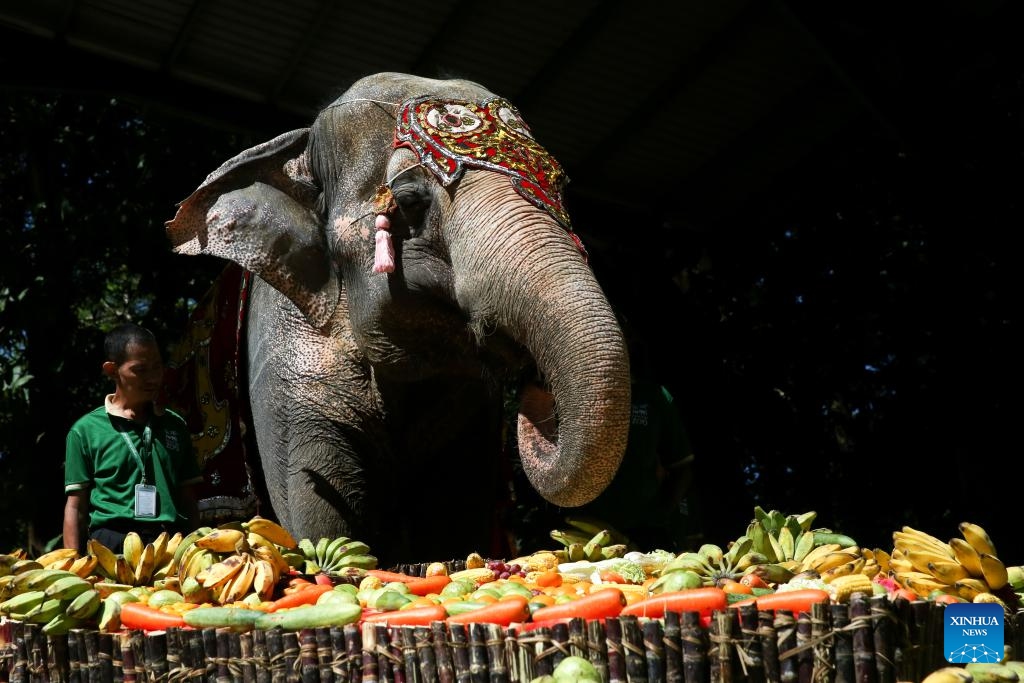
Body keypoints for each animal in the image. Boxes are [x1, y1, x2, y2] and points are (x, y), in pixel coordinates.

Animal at [165, 72, 631, 567]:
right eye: (409, 202)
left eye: (559, 189)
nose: (534, 386)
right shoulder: (283, 361)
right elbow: (319, 511)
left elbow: (455, 508)